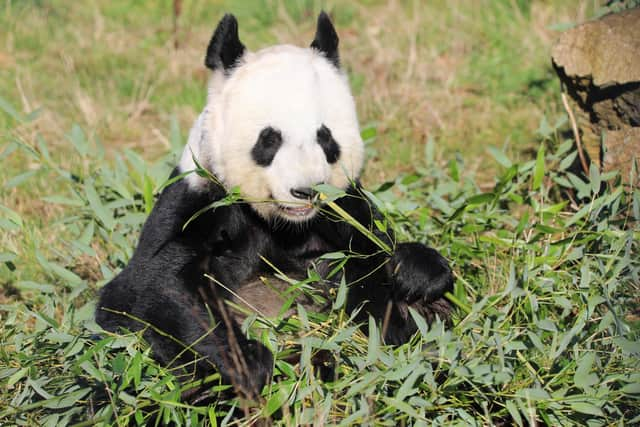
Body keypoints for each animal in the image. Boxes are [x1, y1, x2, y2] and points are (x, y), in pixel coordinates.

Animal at [97, 13, 452, 402]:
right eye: (269, 139)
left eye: (325, 138)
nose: (305, 191)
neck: (285, 223)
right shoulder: (200, 199)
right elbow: (157, 285)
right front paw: (250, 363)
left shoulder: (340, 208)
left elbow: (370, 258)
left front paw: (413, 275)